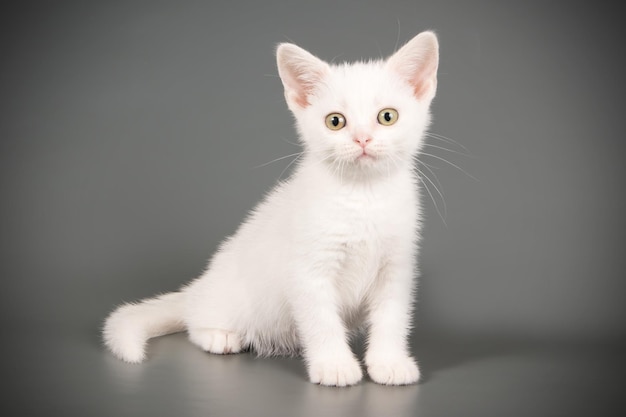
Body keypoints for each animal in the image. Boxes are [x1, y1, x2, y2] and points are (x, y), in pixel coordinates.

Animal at [102, 30, 438, 386]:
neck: (362, 196)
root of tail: (198, 287)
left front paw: (389, 362)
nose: (362, 139)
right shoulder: (308, 270)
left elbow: (392, 317)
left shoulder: (396, 267)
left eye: (388, 116)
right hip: (227, 298)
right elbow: (321, 321)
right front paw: (334, 365)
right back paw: (219, 335)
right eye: (335, 121)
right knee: (196, 321)